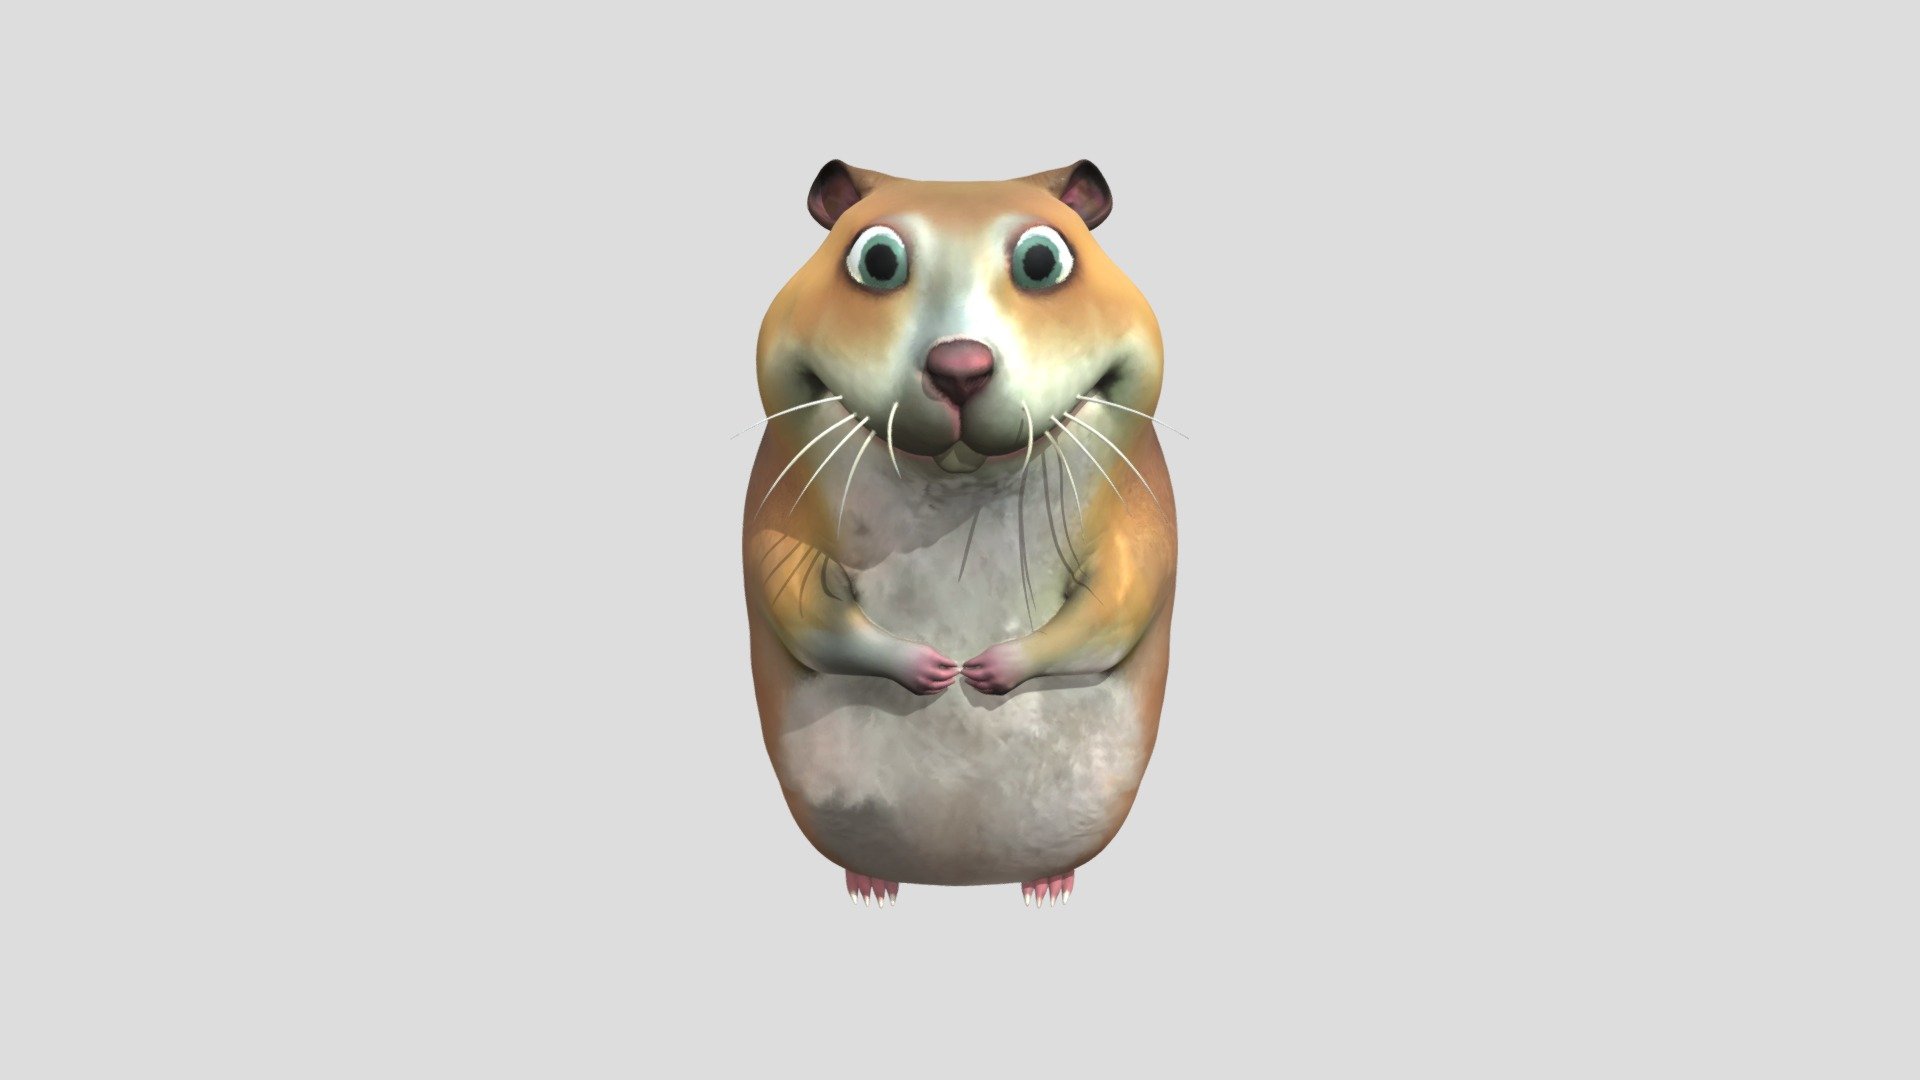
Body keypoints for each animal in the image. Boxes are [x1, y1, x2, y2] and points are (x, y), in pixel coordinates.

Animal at [740, 160, 1177, 908]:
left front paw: (990, 669)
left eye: (1042, 261)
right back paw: (872, 882)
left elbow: (1119, 602)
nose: (960, 369)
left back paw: (1048, 883)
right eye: (877, 260)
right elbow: (796, 603)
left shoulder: (1137, 509)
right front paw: (931, 669)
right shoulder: (781, 502)